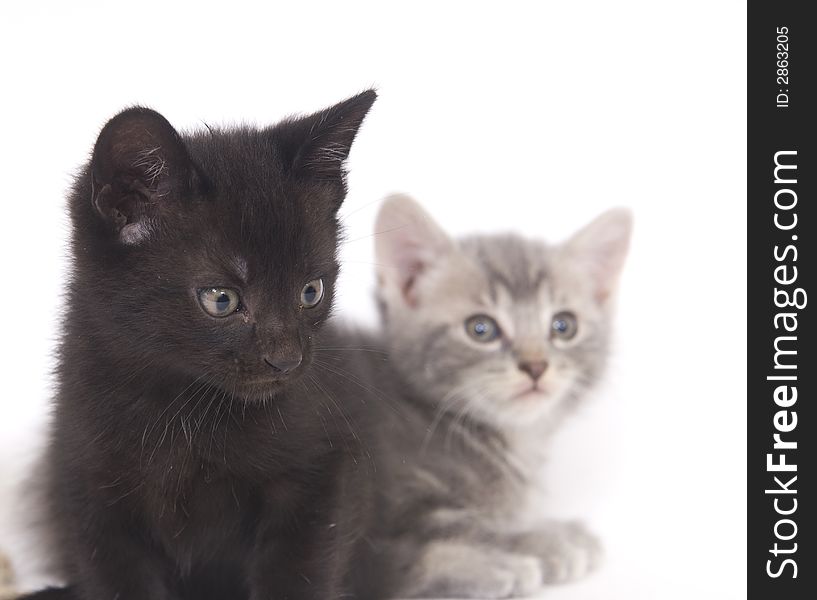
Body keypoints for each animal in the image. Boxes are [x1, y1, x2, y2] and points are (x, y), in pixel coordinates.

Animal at [23, 90, 376, 600]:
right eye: (221, 299)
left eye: (311, 291)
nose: (286, 359)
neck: (186, 408)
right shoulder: (89, 485)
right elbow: (116, 578)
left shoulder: (320, 468)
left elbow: (300, 571)